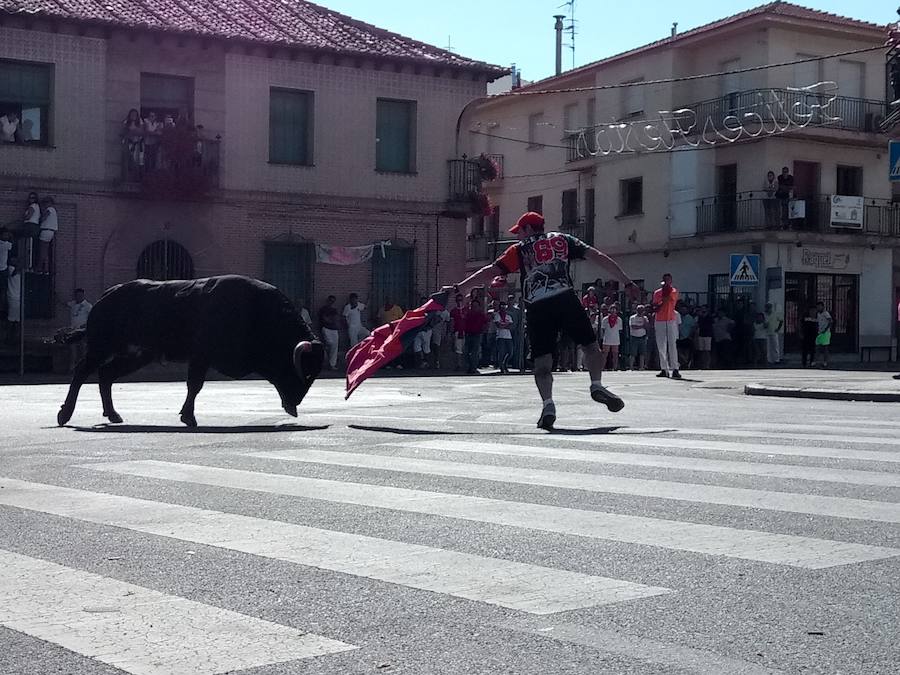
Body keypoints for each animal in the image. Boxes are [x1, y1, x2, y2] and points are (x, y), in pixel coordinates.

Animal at [56, 276, 324, 428]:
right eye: (303, 372)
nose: (294, 405)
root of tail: (106, 296)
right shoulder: (201, 356)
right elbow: (195, 385)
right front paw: (189, 417)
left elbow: (194, 386)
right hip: (101, 348)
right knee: (82, 372)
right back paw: (65, 415)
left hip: (135, 355)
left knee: (106, 375)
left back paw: (113, 414)